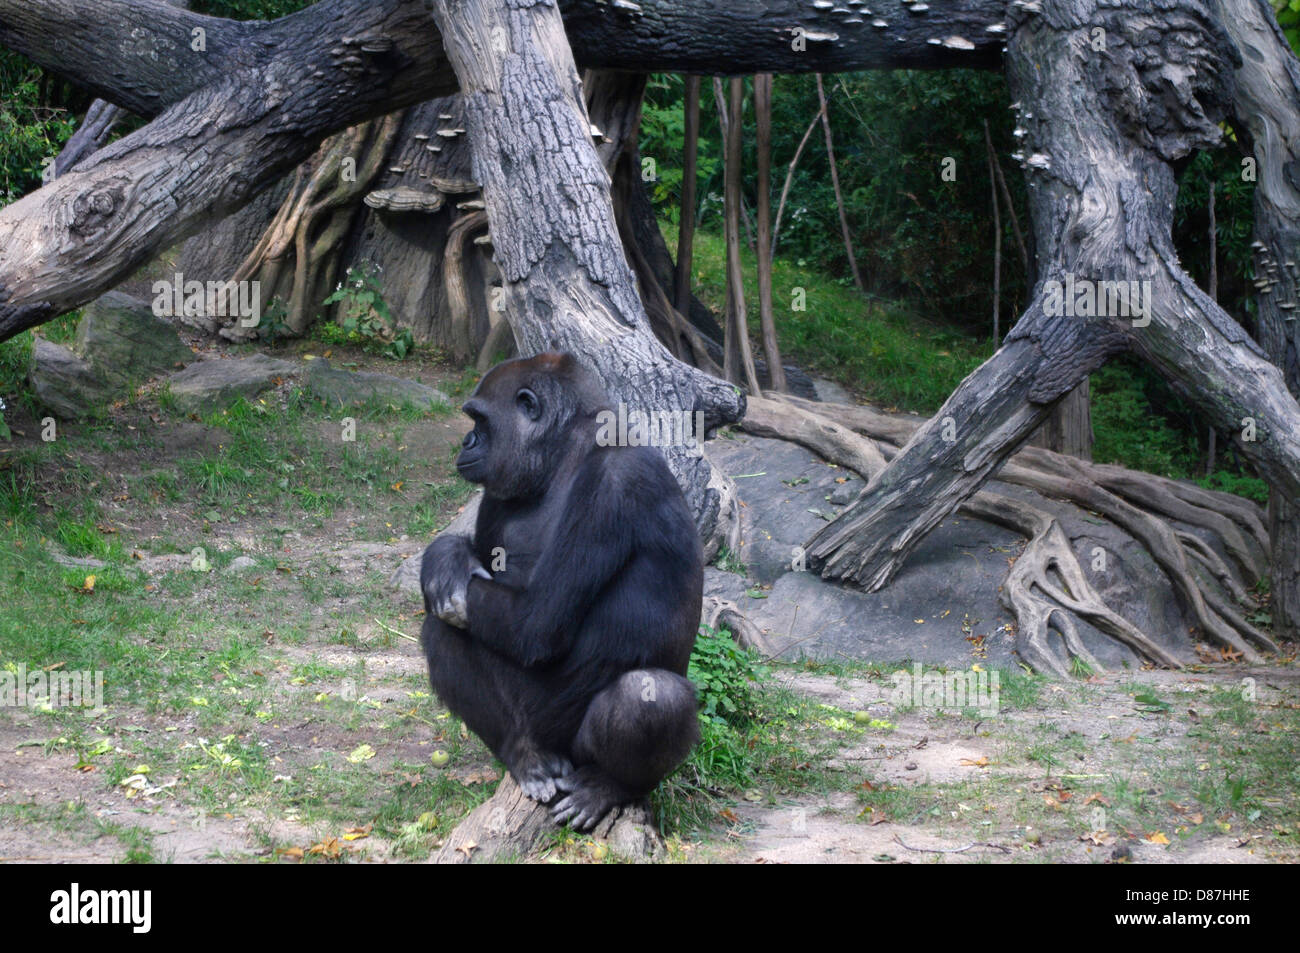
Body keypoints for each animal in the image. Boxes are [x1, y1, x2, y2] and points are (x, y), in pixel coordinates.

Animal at [418, 353, 702, 826]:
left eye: (480, 419)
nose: (467, 442)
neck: (564, 454)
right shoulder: (501, 486)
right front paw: (446, 558)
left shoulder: (617, 481)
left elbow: (535, 622)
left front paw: (439, 562)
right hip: (540, 738)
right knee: (444, 630)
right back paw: (524, 755)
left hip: (578, 750)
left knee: (651, 695)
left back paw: (609, 786)